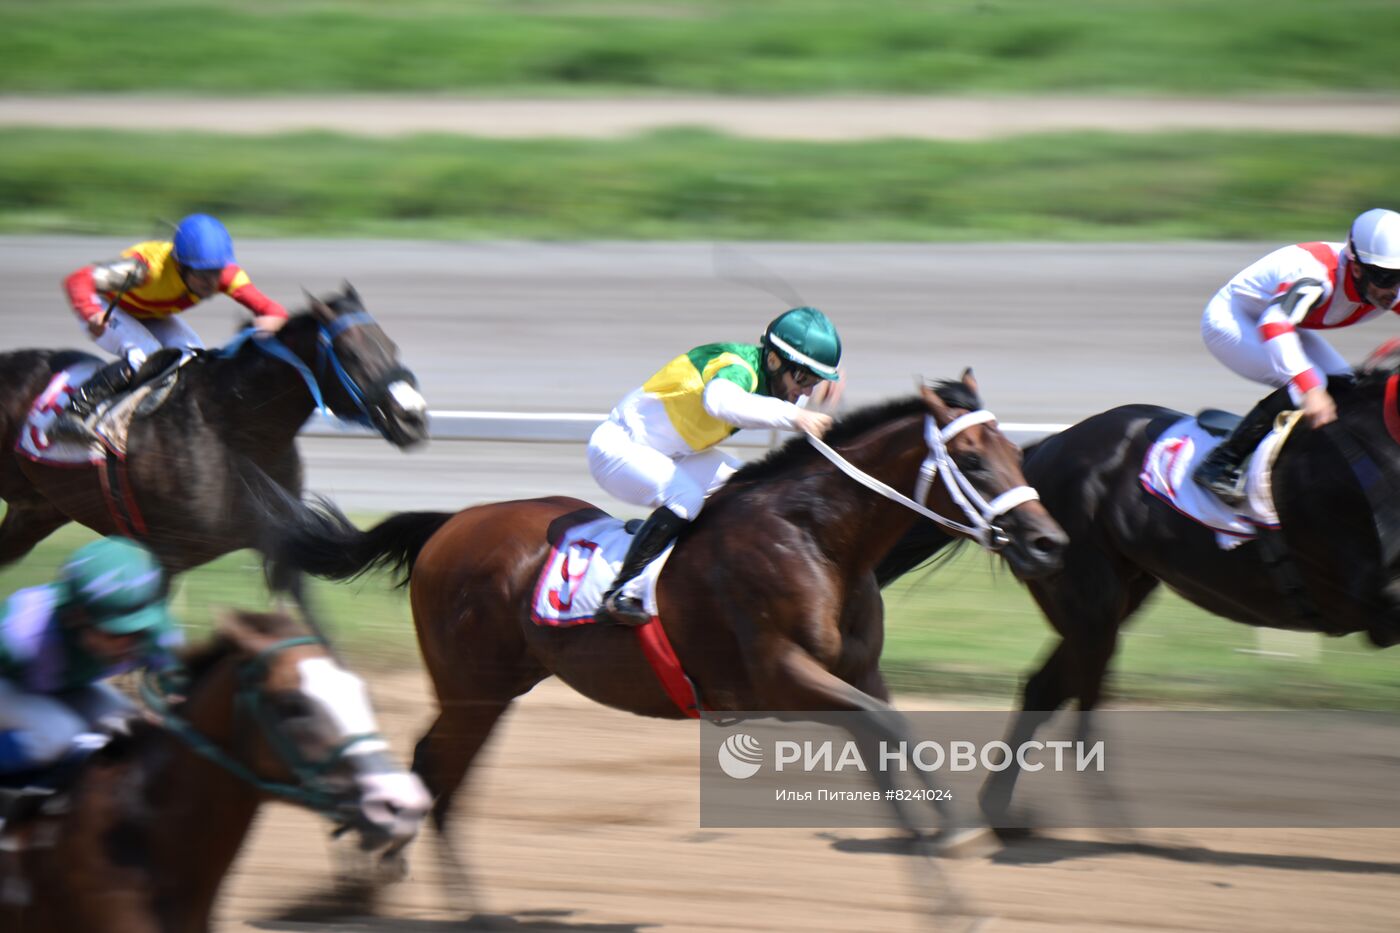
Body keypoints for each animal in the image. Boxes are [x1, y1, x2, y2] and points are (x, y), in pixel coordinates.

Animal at [0, 282, 425, 574]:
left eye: (392, 347)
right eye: (352, 355)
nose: (415, 417)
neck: (233, 427)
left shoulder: (280, 540)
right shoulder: (168, 553)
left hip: (37, 510)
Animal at [267, 369, 1064, 840]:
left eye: (1018, 453)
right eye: (972, 460)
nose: (1049, 542)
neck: (815, 538)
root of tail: (447, 525)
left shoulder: (858, 672)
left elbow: (898, 729)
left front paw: (947, 823)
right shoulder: (781, 677)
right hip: (470, 687)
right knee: (433, 764)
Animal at [873, 348, 1400, 829]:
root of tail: (1045, 447)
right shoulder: (1371, 598)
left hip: (1117, 596)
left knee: (1046, 687)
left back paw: (1003, 810)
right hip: (1090, 598)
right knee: (1076, 707)